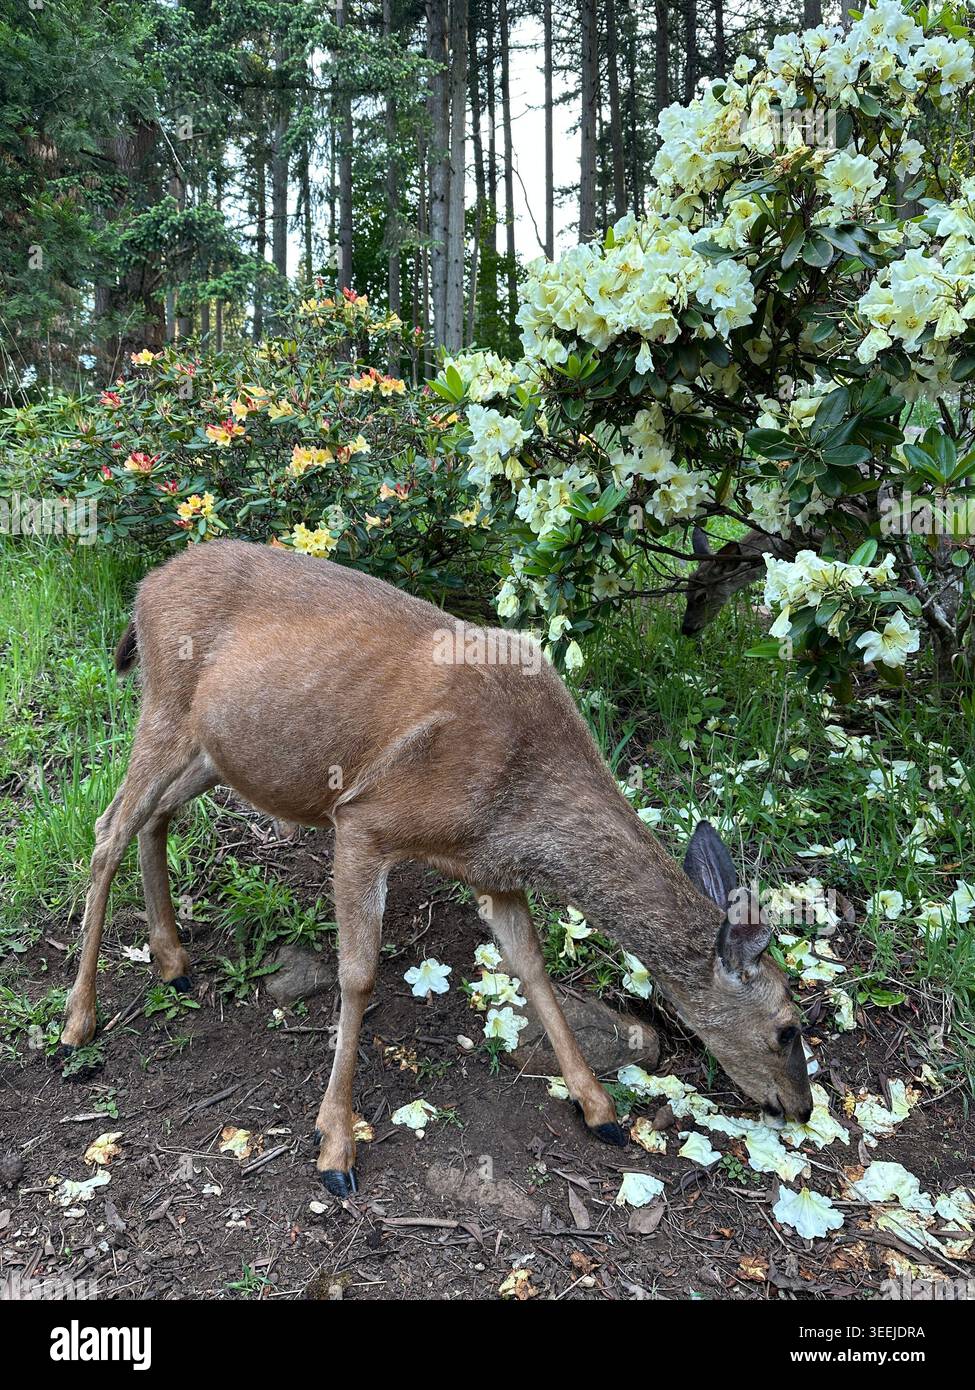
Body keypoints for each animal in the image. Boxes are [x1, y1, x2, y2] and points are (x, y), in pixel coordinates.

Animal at [61, 539, 813, 1196]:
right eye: (787, 1027)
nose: (802, 1108)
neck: (519, 805)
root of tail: (146, 587)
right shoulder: (364, 820)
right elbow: (359, 976)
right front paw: (335, 1146)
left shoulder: (493, 873)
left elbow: (532, 968)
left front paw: (600, 1110)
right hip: (164, 705)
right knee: (106, 830)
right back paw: (77, 1023)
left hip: (215, 749)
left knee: (152, 821)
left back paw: (173, 961)